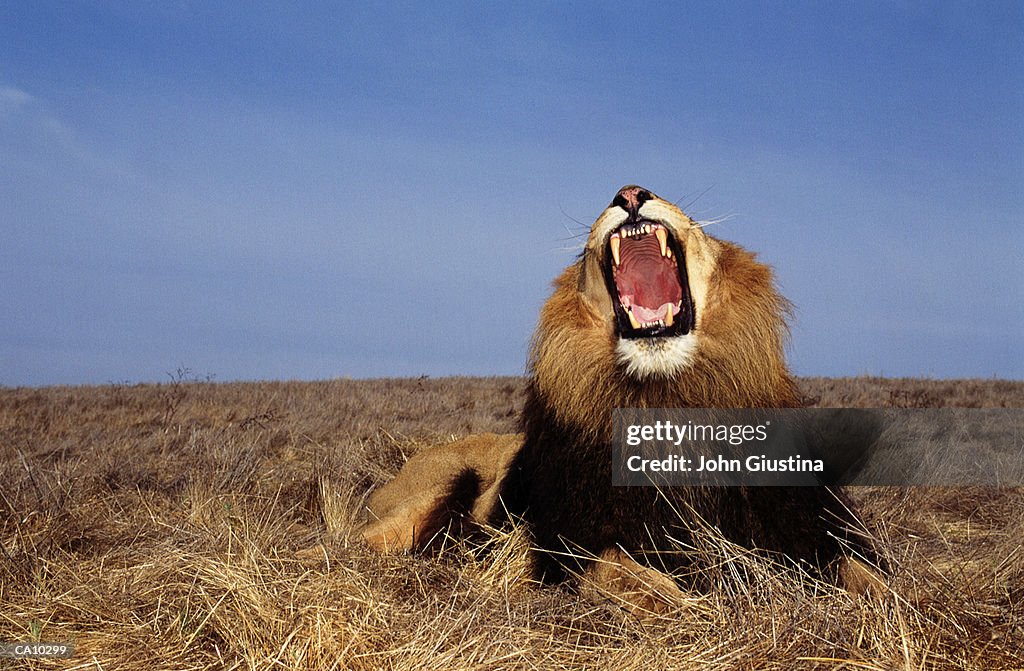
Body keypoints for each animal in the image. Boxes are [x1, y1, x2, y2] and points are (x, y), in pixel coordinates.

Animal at [364, 185, 884, 602]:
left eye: (694, 222)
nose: (630, 193)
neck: (667, 400)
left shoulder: (806, 524)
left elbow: (870, 576)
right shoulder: (566, 541)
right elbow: (627, 575)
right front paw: (690, 607)